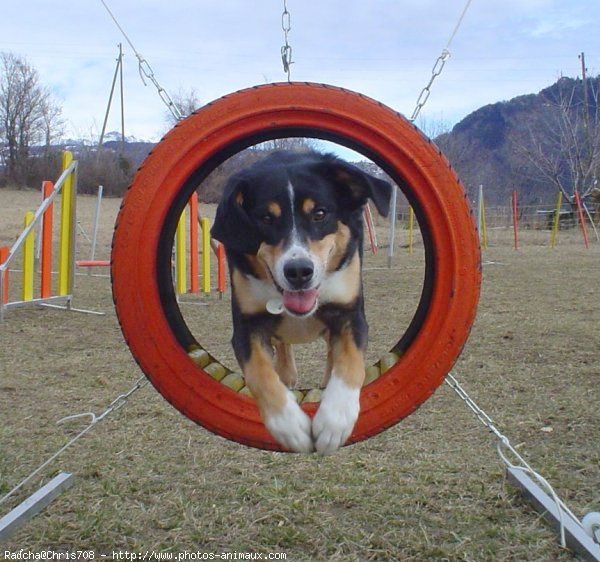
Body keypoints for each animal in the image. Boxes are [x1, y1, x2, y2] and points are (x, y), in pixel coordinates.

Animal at [211, 151, 394, 452]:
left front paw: (335, 420)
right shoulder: (246, 326)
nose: (298, 271)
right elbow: (259, 372)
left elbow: (350, 360)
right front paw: (289, 425)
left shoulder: (350, 313)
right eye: (265, 217)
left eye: (319, 213)